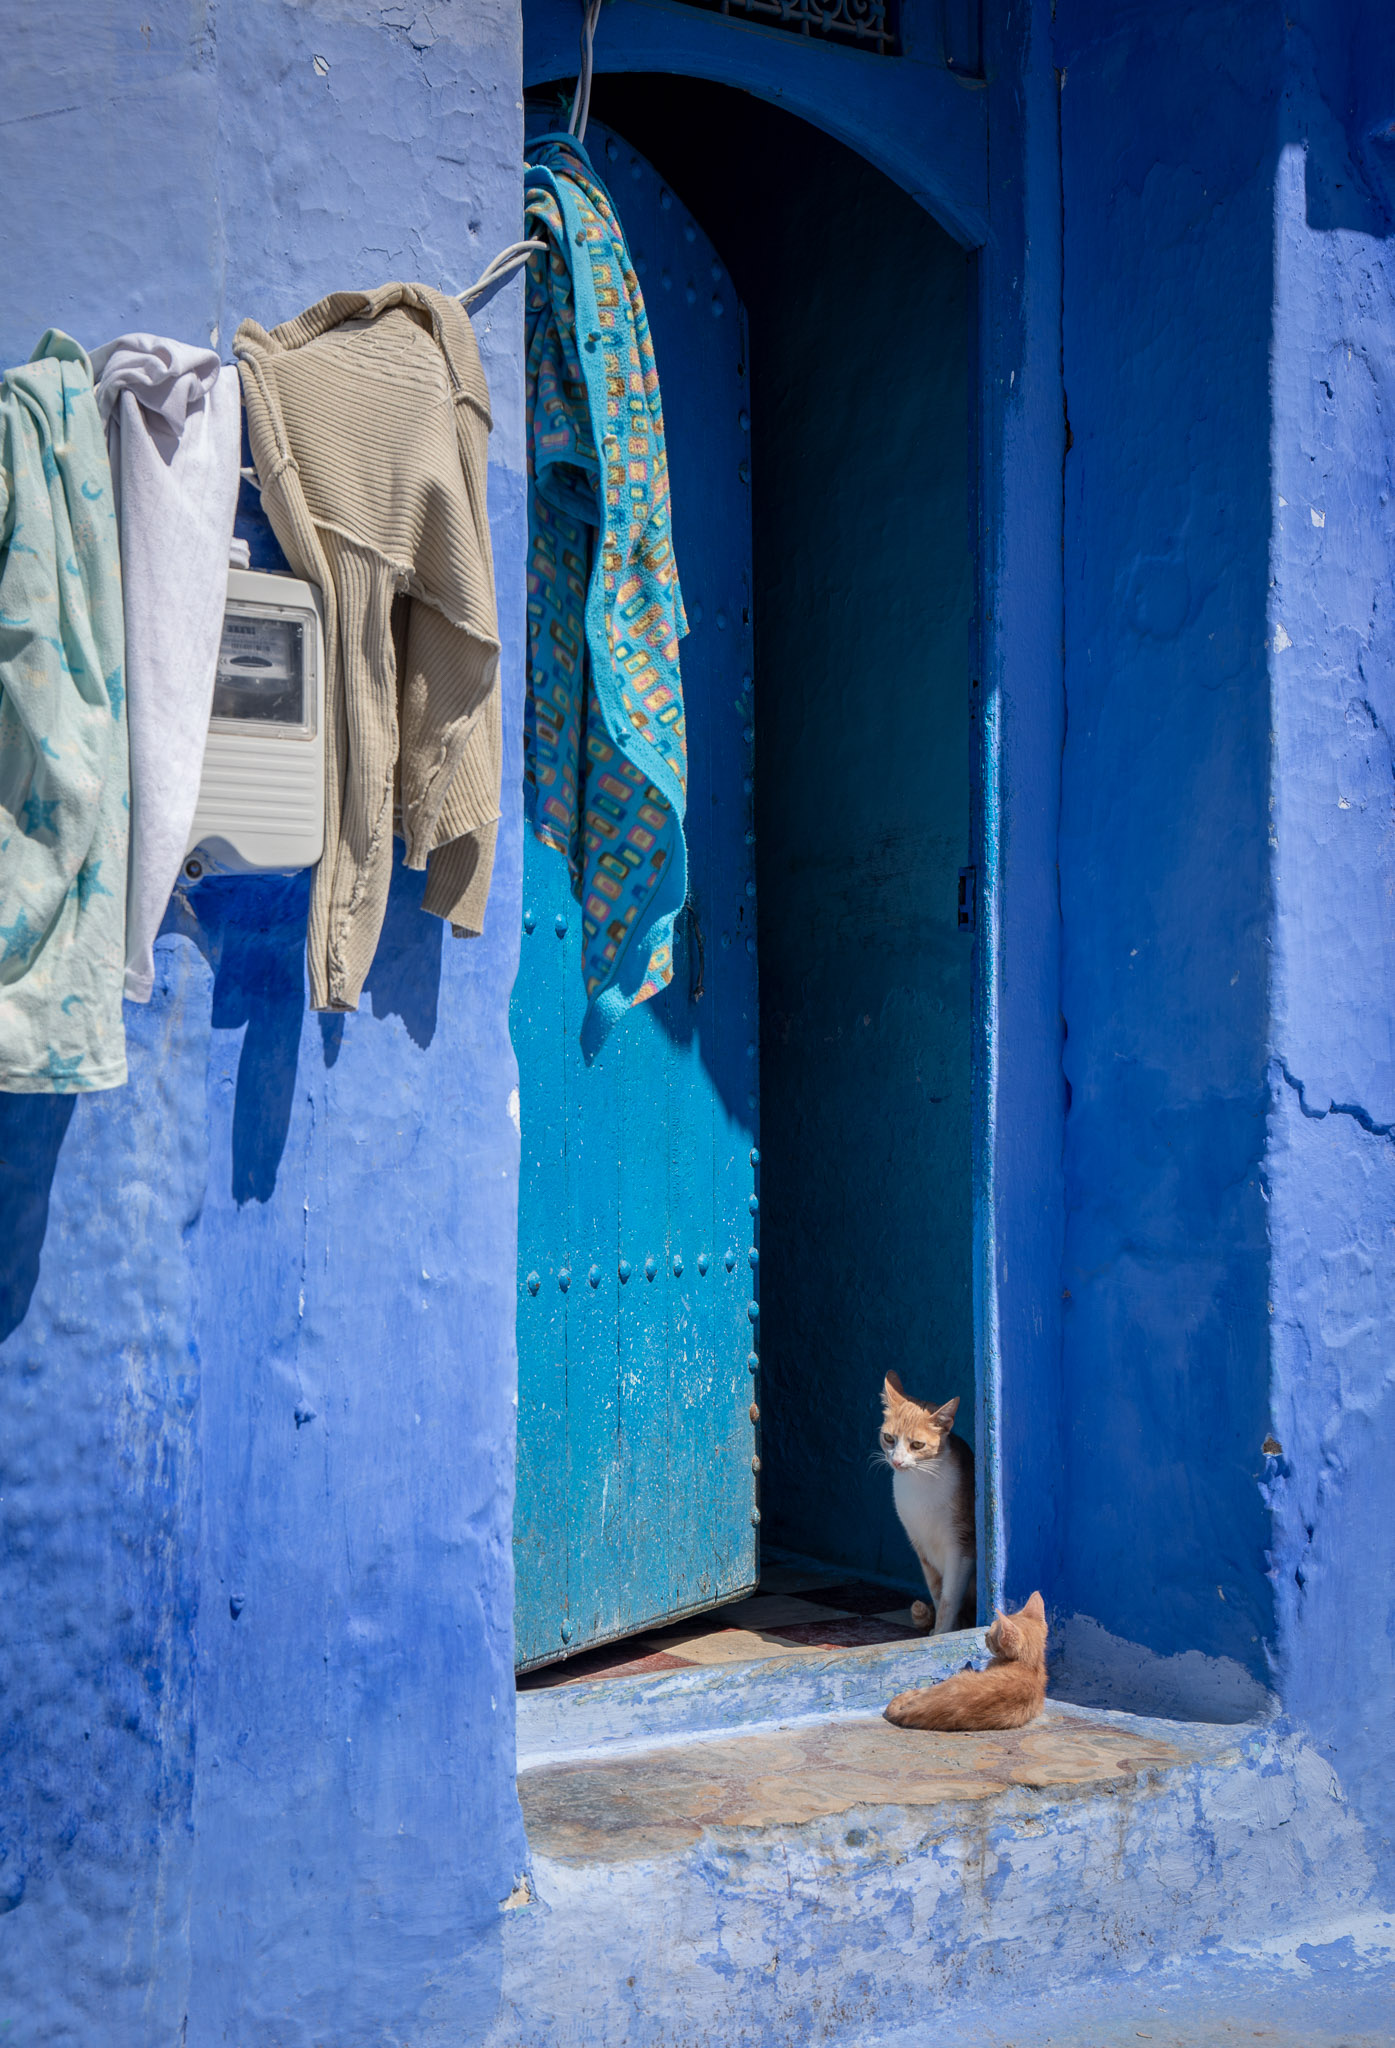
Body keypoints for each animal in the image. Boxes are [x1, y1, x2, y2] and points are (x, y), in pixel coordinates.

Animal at [880, 1368, 966, 1638]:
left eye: (917, 1444)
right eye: (888, 1438)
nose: (897, 1462)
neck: (921, 1481)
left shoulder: (960, 1546)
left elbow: (949, 1597)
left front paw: (944, 1633)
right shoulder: (921, 1545)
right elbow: (937, 1591)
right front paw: (944, 1629)